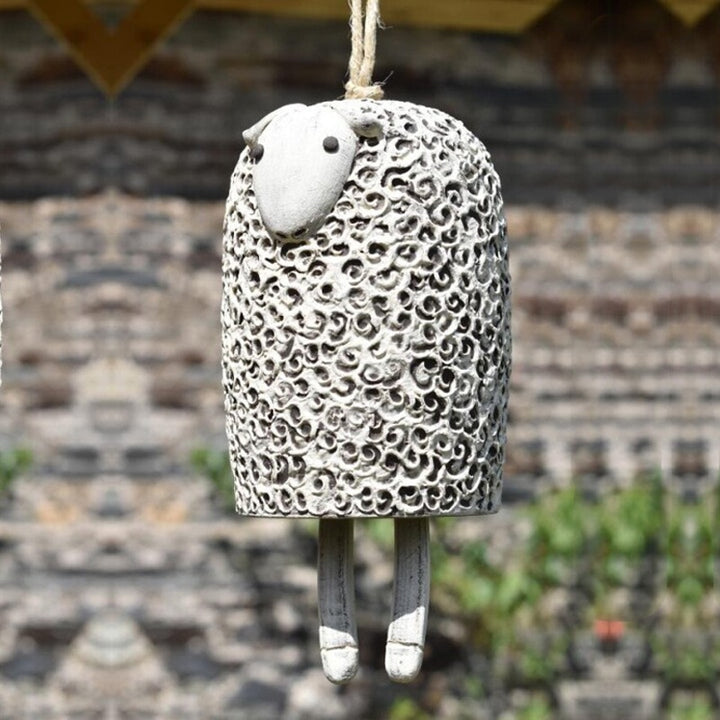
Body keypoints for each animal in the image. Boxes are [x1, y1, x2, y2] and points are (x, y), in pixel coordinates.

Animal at [222, 99, 511, 683]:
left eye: (333, 146)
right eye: (259, 155)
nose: (285, 226)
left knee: (413, 539)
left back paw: (401, 656)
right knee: (334, 540)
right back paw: (342, 657)